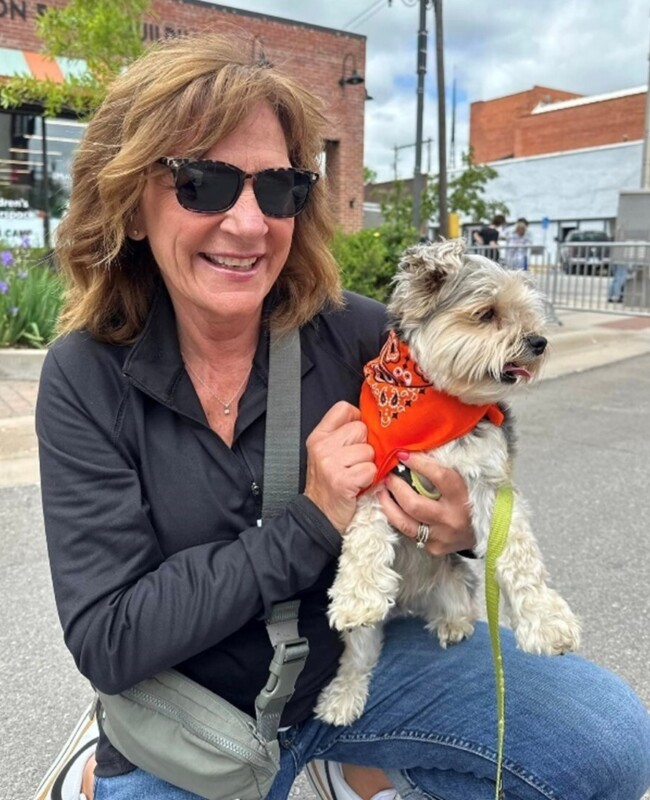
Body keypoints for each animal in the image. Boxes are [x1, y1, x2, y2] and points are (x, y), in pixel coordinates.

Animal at [314, 236, 576, 724]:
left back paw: (452, 623)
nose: (539, 341)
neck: (438, 398)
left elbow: (520, 554)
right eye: (487, 313)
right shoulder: (377, 473)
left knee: (463, 607)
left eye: (527, 313)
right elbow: (363, 539)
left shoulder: (492, 483)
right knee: (359, 655)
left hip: (455, 584)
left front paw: (547, 621)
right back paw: (345, 692)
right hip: (369, 636)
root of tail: (409, 600)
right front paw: (356, 596)